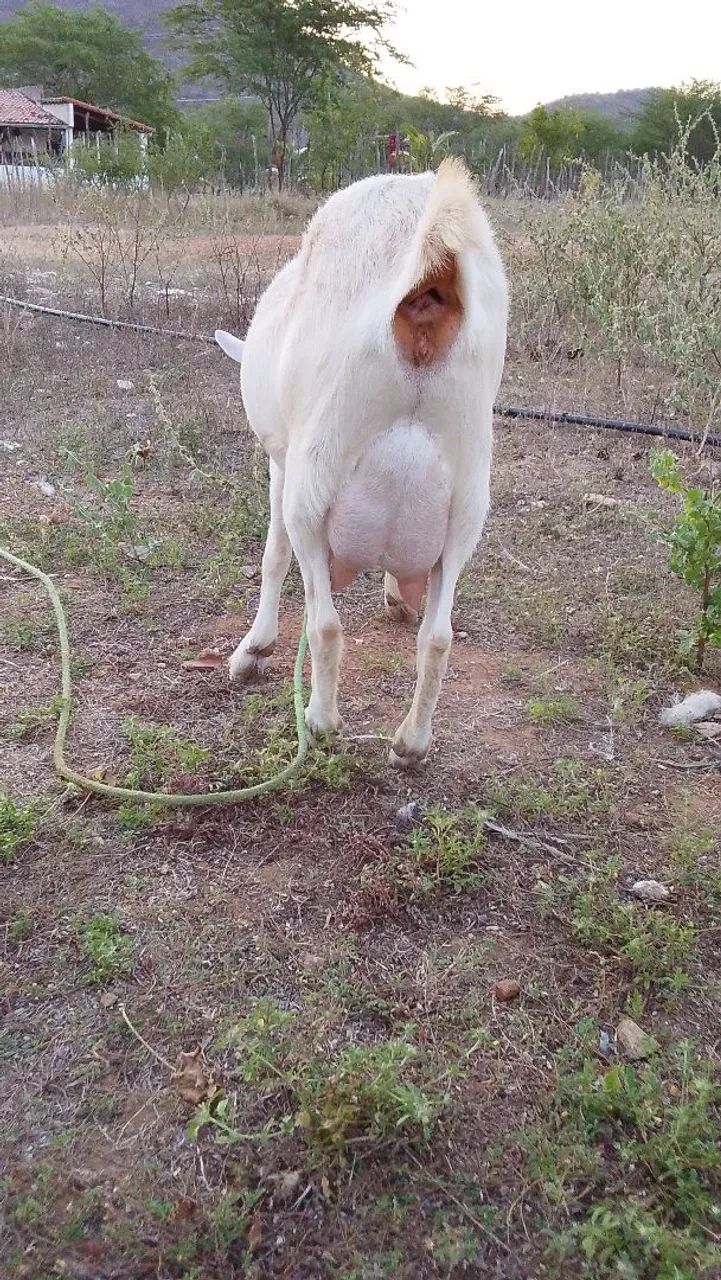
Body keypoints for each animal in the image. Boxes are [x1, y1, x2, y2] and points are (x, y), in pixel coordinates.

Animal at [215, 158, 507, 767]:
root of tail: (432, 272)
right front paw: (396, 596)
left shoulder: (281, 462)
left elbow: (273, 555)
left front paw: (254, 650)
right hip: (467, 499)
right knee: (438, 637)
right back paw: (410, 743)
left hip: (314, 476)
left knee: (325, 623)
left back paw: (320, 721)